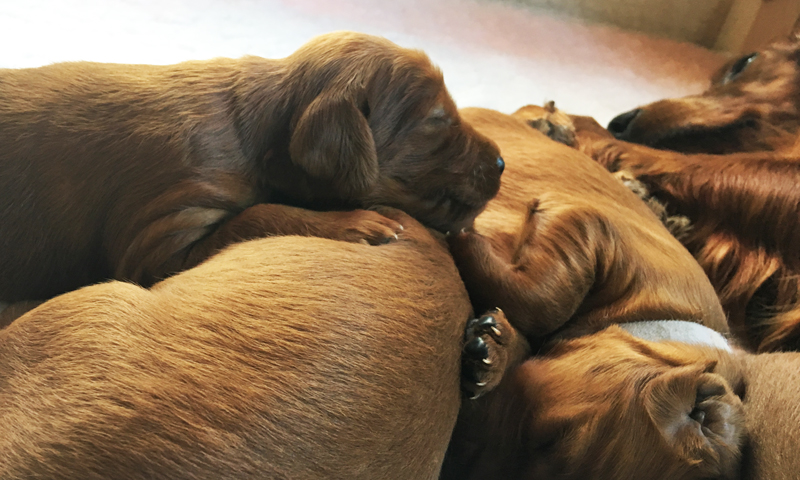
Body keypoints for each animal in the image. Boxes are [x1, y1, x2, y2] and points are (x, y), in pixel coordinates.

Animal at [0, 31, 503, 310]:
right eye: (437, 118)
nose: (502, 162)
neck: (264, 131)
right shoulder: (161, 235)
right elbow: (259, 213)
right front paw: (359, 223)